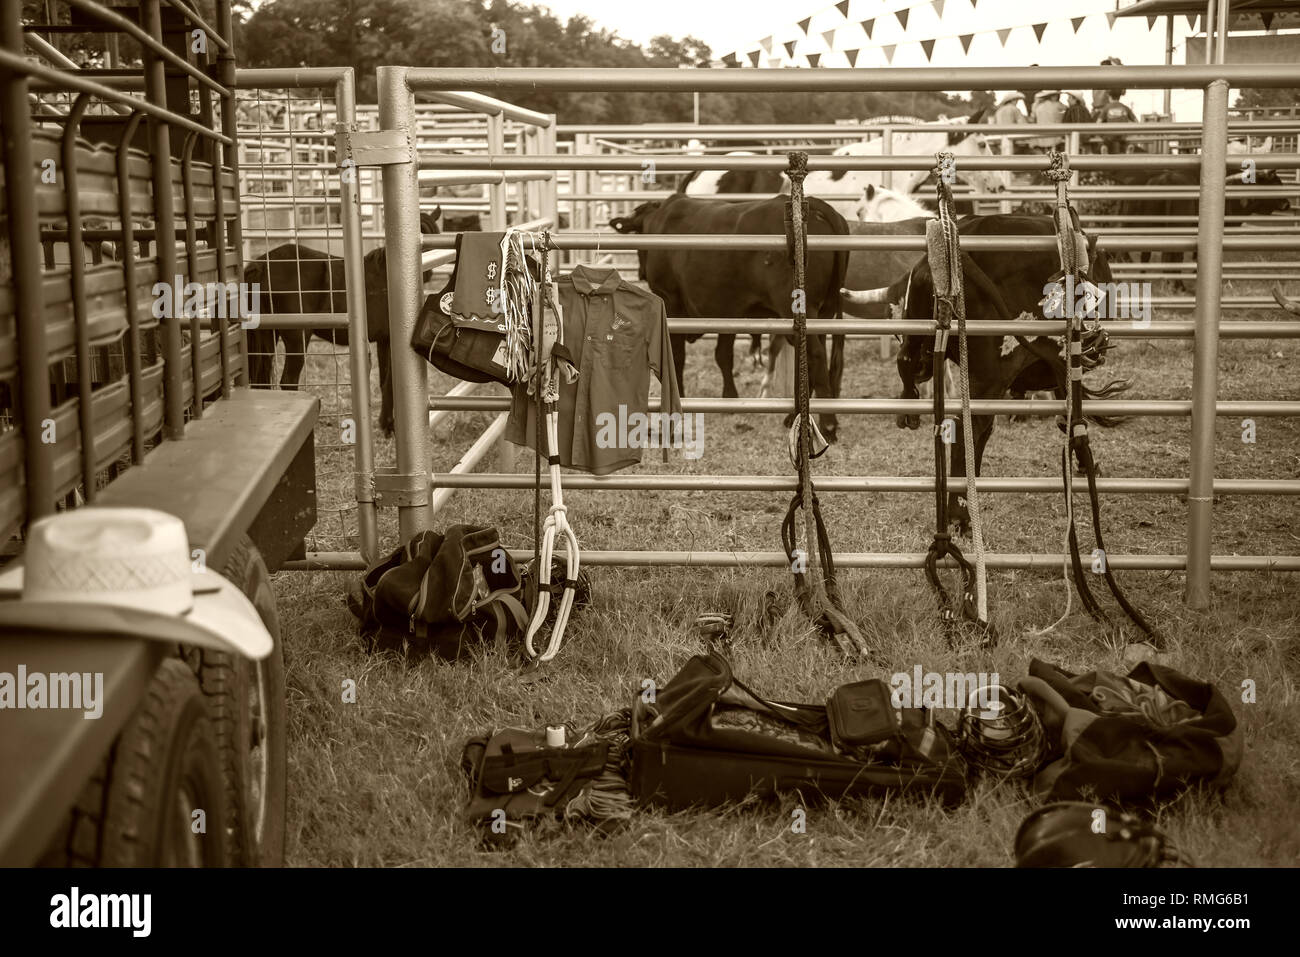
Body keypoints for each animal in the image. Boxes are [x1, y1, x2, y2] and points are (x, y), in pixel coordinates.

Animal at [608, 191, 852, 444]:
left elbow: (676, 357)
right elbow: (723, 355)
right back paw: (795, 417)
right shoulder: (728, 309)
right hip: (823, 312)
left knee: (816, 355)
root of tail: (819, 206)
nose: (640, 272)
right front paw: (730, 397)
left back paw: (828, 424)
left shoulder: (672, 301)